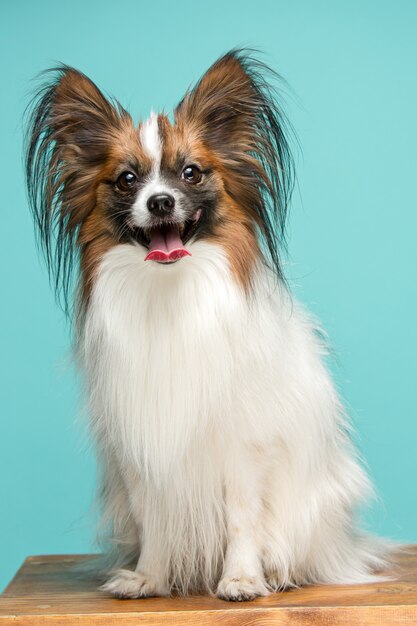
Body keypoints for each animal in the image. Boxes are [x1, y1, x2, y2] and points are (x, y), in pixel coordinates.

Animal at [24, 50, 386, 600]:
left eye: (191, 174)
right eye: (127, 180)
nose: (160, 202)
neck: (171, 290)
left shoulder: (242, 447)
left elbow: (242, 517)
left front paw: (241, 578)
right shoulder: (143, 449)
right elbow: (153, 519)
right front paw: (149, 577)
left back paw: (276, 571)